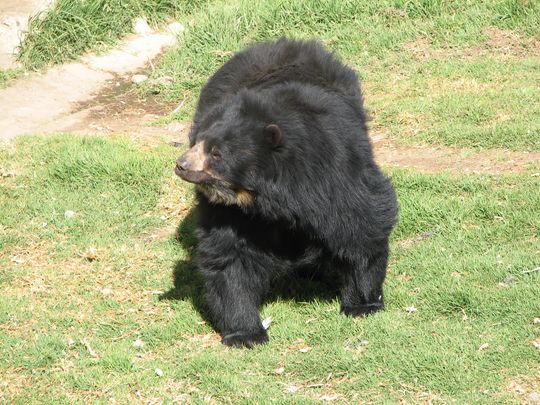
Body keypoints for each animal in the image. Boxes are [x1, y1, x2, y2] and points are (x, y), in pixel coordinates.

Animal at [175, 37, 398, 348]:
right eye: (196, 141)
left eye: (216, 152)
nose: (181, 165)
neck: (269, 199)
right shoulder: (228, 210)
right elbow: (228, 254)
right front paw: (246, 334)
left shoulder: (335, 173)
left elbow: (360, 223)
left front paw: (363, 304)